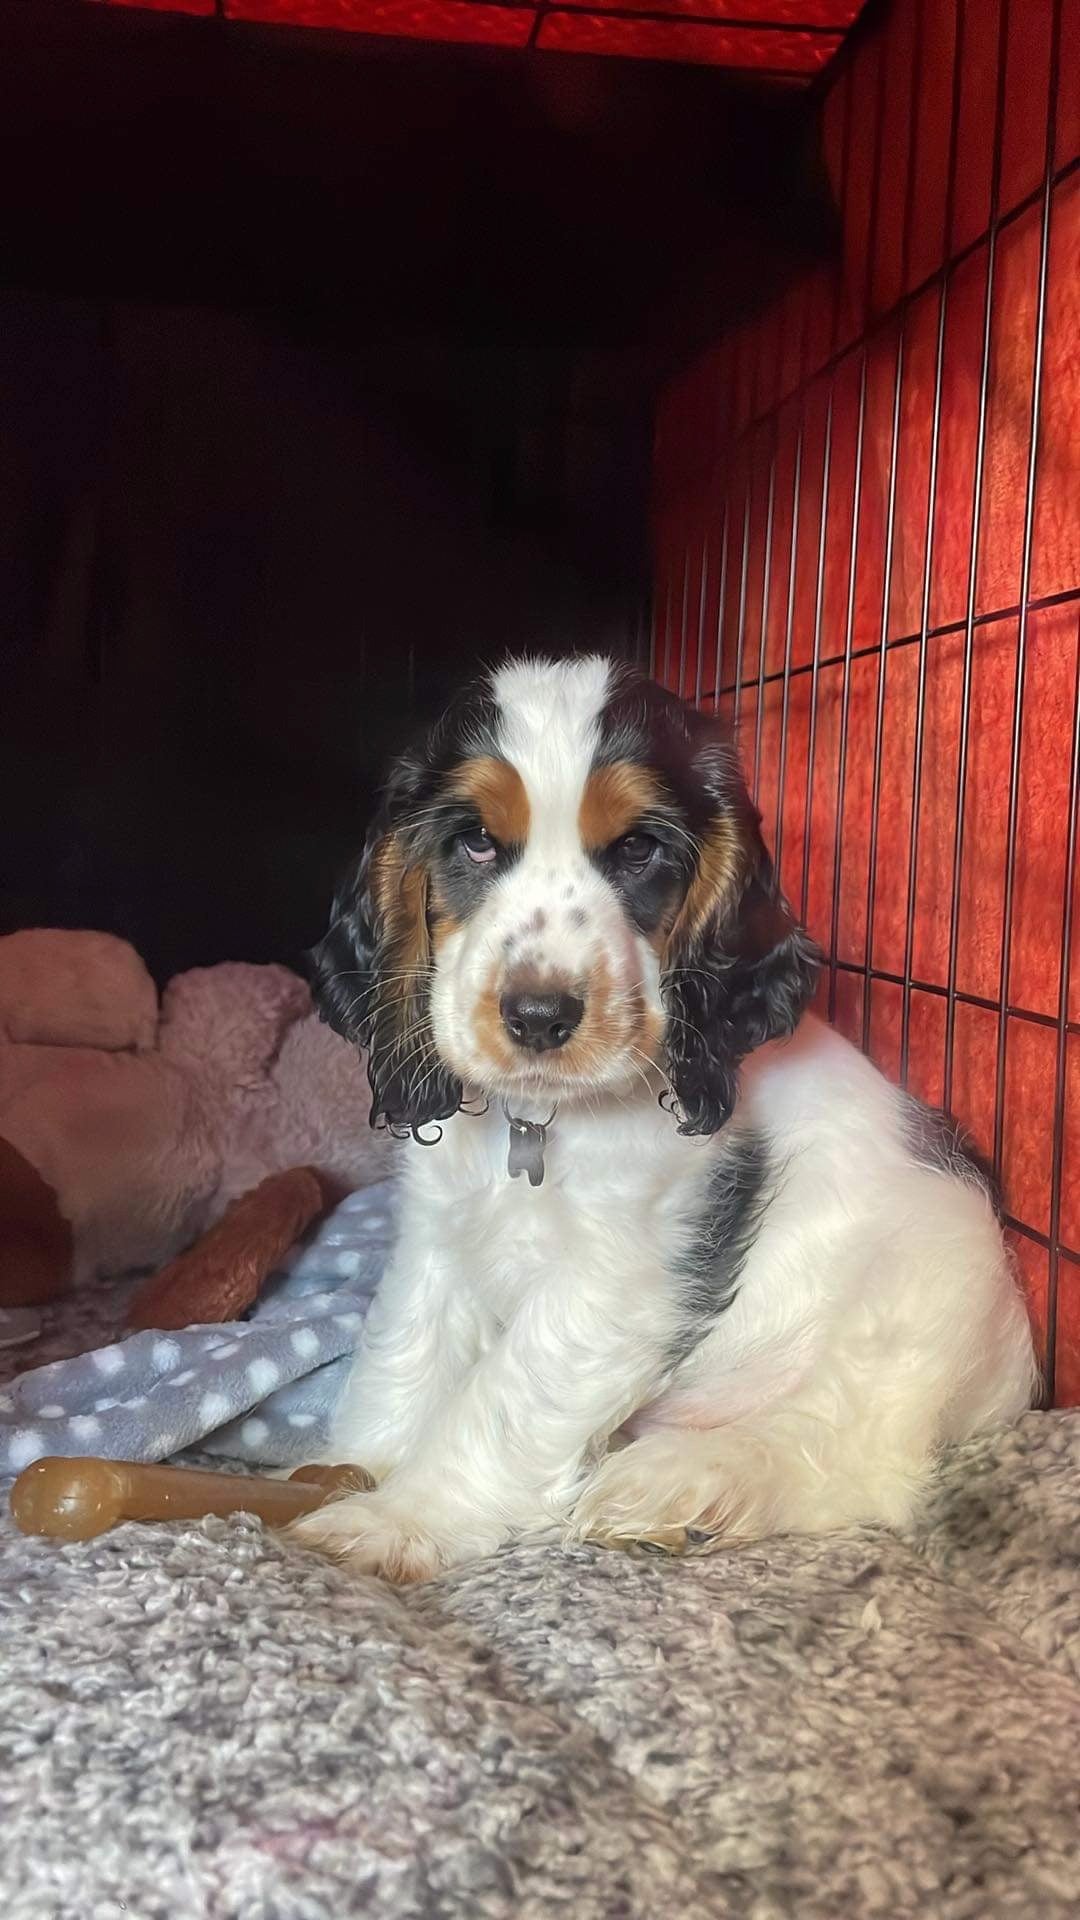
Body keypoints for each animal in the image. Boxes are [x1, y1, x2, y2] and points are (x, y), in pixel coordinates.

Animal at [290, 652, 1030, 1582]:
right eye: (476, 841)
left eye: (638, 849)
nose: (539, 1017)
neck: (541, 1124)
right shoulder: (438, 1234)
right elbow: (403, 1355)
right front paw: (347, 1470)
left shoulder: (620, 1276)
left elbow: (504, 1395)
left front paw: (395, 1519)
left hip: (920, 1284)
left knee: (853, 1454)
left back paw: (689, 1483)